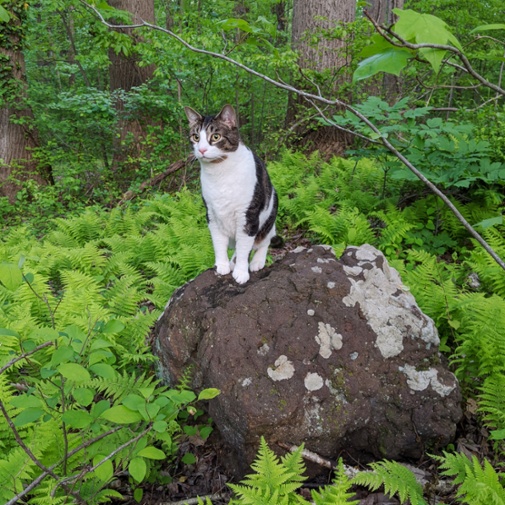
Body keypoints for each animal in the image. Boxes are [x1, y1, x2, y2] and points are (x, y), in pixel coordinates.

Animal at [184, 103, 278, 284]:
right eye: (196, 137)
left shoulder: (248, 215)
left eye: (216, 137)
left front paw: (241, 272)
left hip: (271, 210)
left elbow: (244, 247)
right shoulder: (211, 214)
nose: (202, 150)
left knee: (264, 240)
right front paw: (222, 265)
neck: (219, 174)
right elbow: (218, 243)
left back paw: (256, 261)